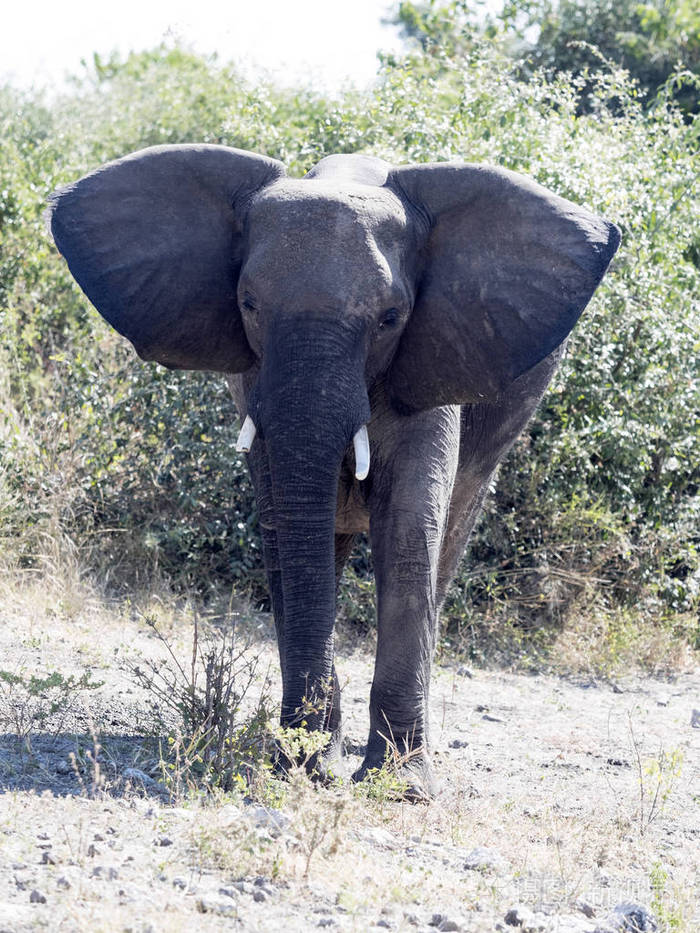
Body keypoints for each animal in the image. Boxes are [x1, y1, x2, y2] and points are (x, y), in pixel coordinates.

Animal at [47, 142, 616, 796]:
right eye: (248, 305)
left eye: (391, 316)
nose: (307, 764)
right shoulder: (256, 381)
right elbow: (281, 526)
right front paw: (304, 766)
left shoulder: (435, 351)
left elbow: (408, 529)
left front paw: (402, 788)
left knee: (448, 538)